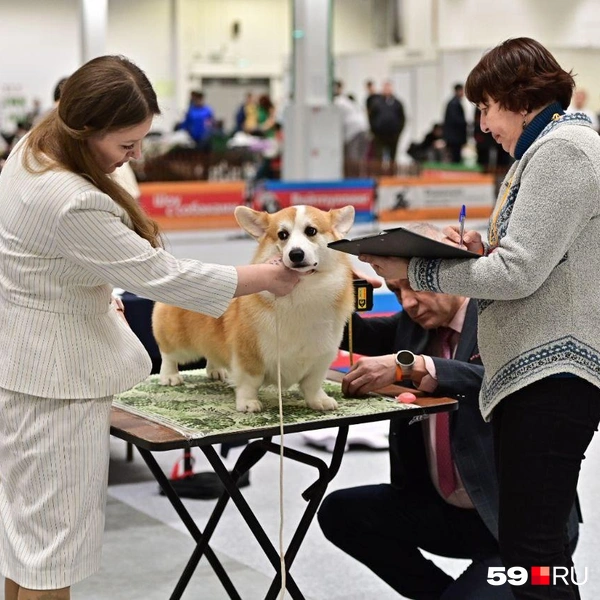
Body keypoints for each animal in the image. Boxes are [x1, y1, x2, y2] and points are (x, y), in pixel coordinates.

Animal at [151, 205, 356, 412]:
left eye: (311, 231)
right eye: (282, 235)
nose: (296, 254)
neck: (303, 291)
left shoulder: (320, 358)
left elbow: (312, 384)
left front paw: (320, 401)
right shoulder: (248, 354)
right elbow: (250, 382)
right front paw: (248, 403)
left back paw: (216, 370)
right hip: (178, 341)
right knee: (168, 355)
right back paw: (170, 376)